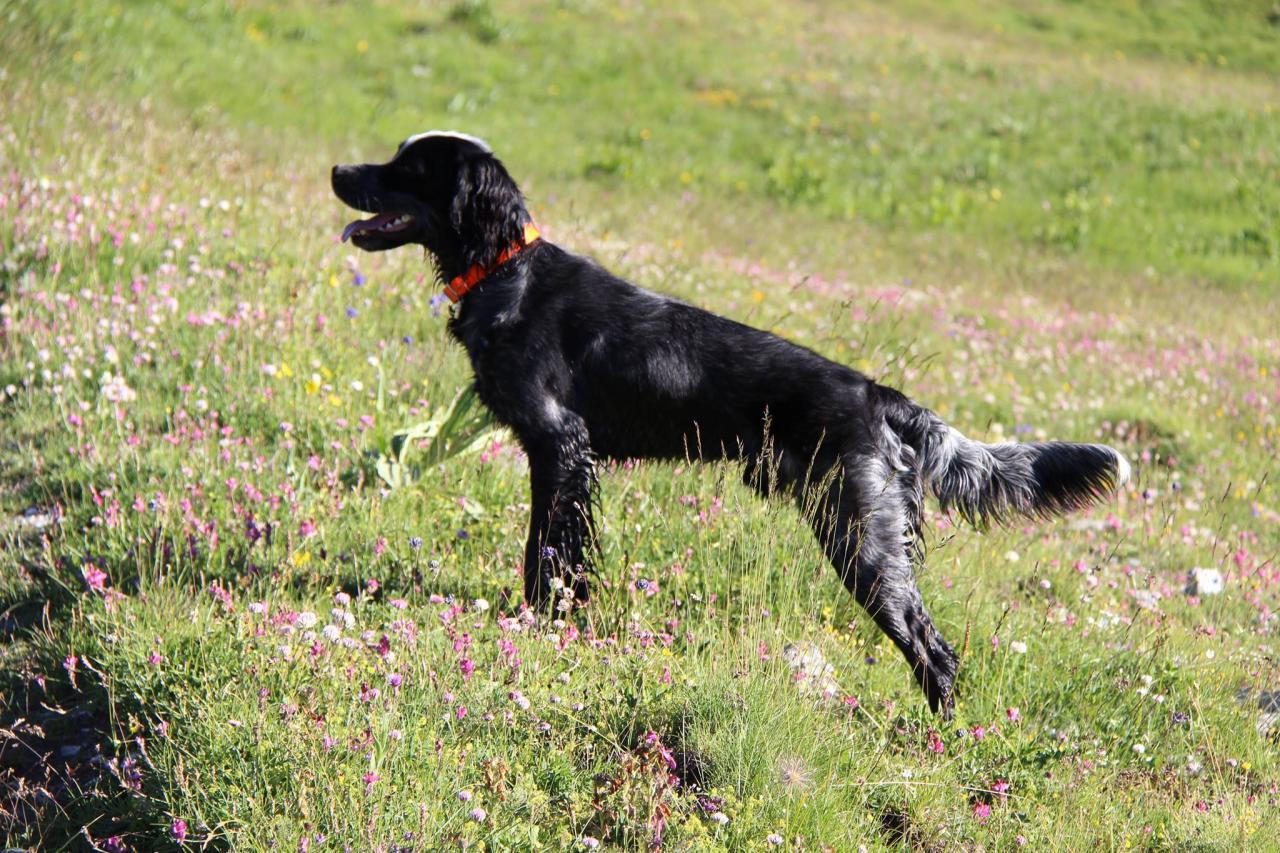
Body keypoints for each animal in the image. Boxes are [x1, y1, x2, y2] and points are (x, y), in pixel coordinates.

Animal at [332, 131, 1131, 712]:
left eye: (408, 167)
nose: (339, 168)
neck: (503, 272)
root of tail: (878, 394)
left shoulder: (560, 446)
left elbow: (547, 557)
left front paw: (540, 624)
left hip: (861, 538)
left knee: (933, 649)